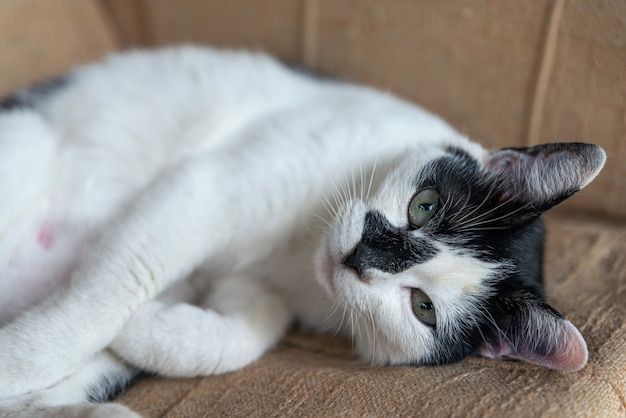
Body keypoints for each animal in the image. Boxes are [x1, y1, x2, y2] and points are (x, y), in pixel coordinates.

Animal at [0, 44, 604, 416]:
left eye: (423, 308)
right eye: (424, 205)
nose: (362, 256)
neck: (298, 256)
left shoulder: (255, 289)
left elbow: (240, 337)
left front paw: (146, 326)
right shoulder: (204, 189)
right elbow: (111, 292)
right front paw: (19, 362)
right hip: (24, 142)